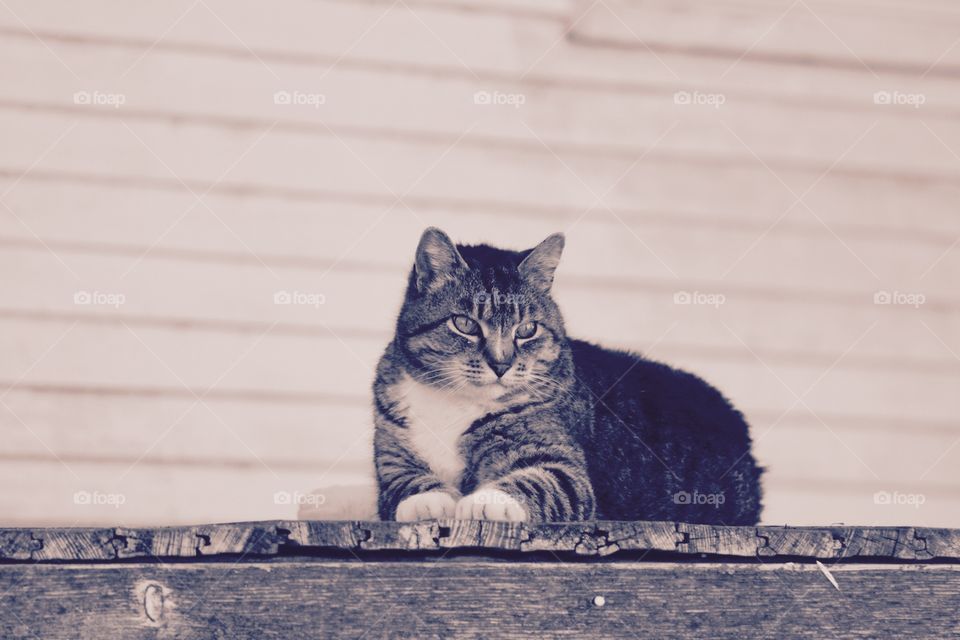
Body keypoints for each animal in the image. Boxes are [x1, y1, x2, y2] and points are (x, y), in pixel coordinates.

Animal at [372, 228, 760, 524]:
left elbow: (545, 480)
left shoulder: (563, 465)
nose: (502, 364)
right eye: (465, 324)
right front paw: (427, 499)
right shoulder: (391, 451)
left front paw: (483, 502)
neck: (457, 402)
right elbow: (401, 480)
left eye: (527, 330)